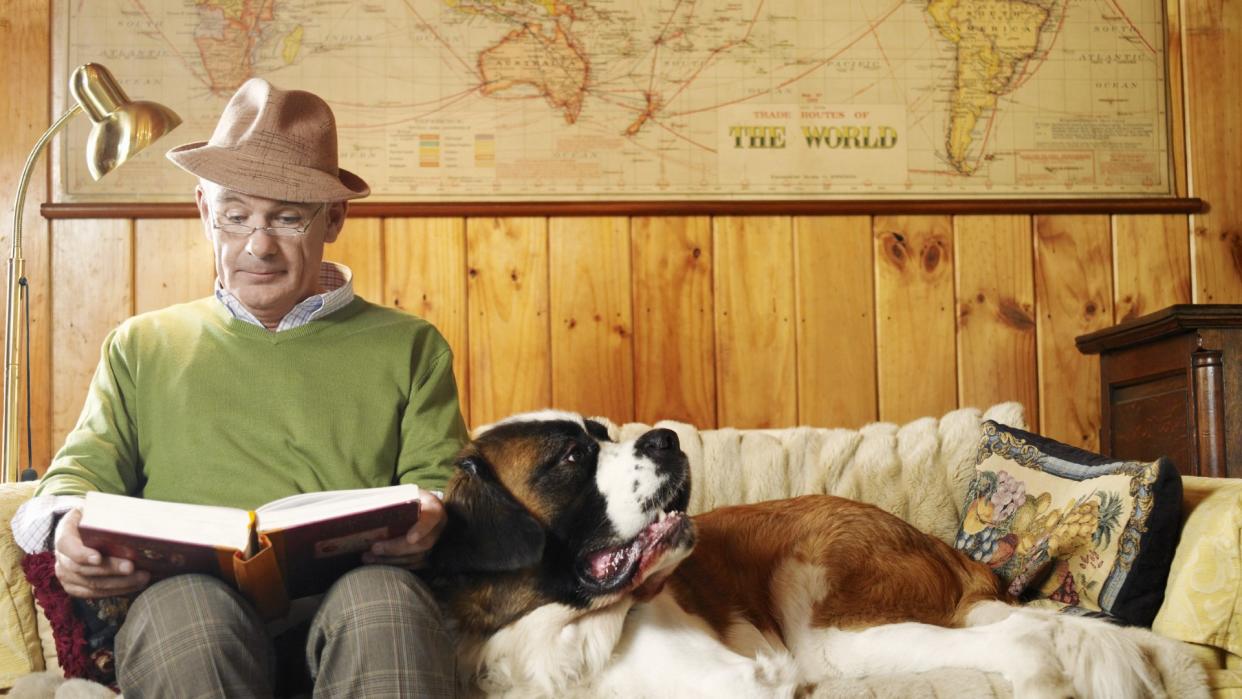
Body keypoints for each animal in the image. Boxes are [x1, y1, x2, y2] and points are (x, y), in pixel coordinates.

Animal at [429, 412, 1162, 695]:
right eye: (573, 456)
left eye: (603, 434)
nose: (665, 438)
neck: (559, 638)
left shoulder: (743, 680)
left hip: (829, 628)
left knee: (1022, 639)